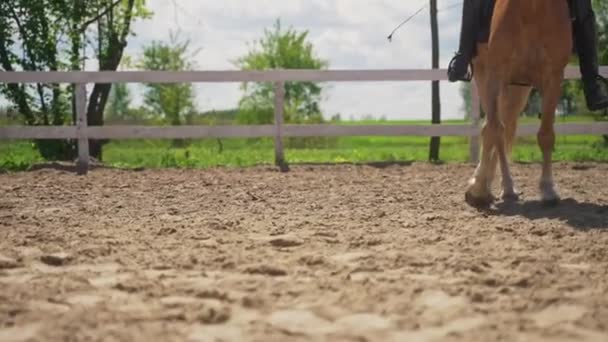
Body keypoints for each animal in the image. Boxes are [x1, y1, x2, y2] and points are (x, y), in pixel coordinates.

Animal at [466, 0, 576, 206]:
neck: (532, 8)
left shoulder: (553, 78)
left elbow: (546, 135)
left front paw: (548, 189)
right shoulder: (494, 73)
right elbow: (493, 130)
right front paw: (478, 189)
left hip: (518, 89)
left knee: (506, 126)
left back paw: (505, 187)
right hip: (484, 76)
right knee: (493, 128)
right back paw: (495, 184)